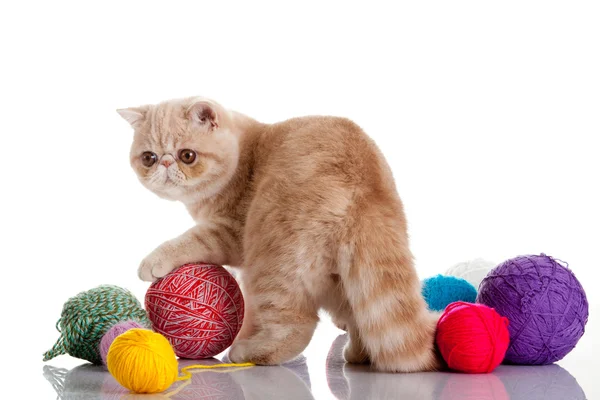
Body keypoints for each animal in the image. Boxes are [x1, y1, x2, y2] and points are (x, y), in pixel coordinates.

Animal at [117, 97, 440, 372]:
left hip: (269, 258)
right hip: (345, 277)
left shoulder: (230, 233)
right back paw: (358, 354)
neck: (243, 156)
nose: (165, 163)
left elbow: (191, 240)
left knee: (298, 325)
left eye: (187, 155)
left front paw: (153, 261)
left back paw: (250, 352)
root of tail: (363, 185)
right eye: (148, 158)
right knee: (358, 317)